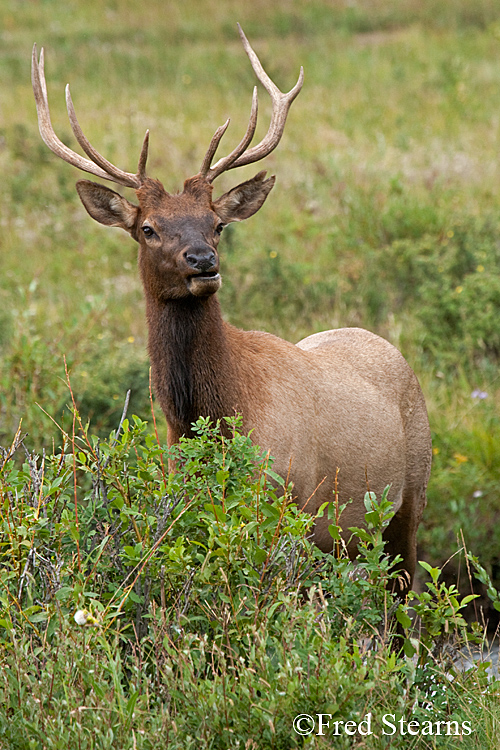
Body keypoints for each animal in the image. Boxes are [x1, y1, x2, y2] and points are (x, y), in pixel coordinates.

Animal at [32, 25, 430, 592]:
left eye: (217, 223)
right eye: (148, 228)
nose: (203, 261)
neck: (217, 417)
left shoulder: (292, 504)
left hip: (411, 493)